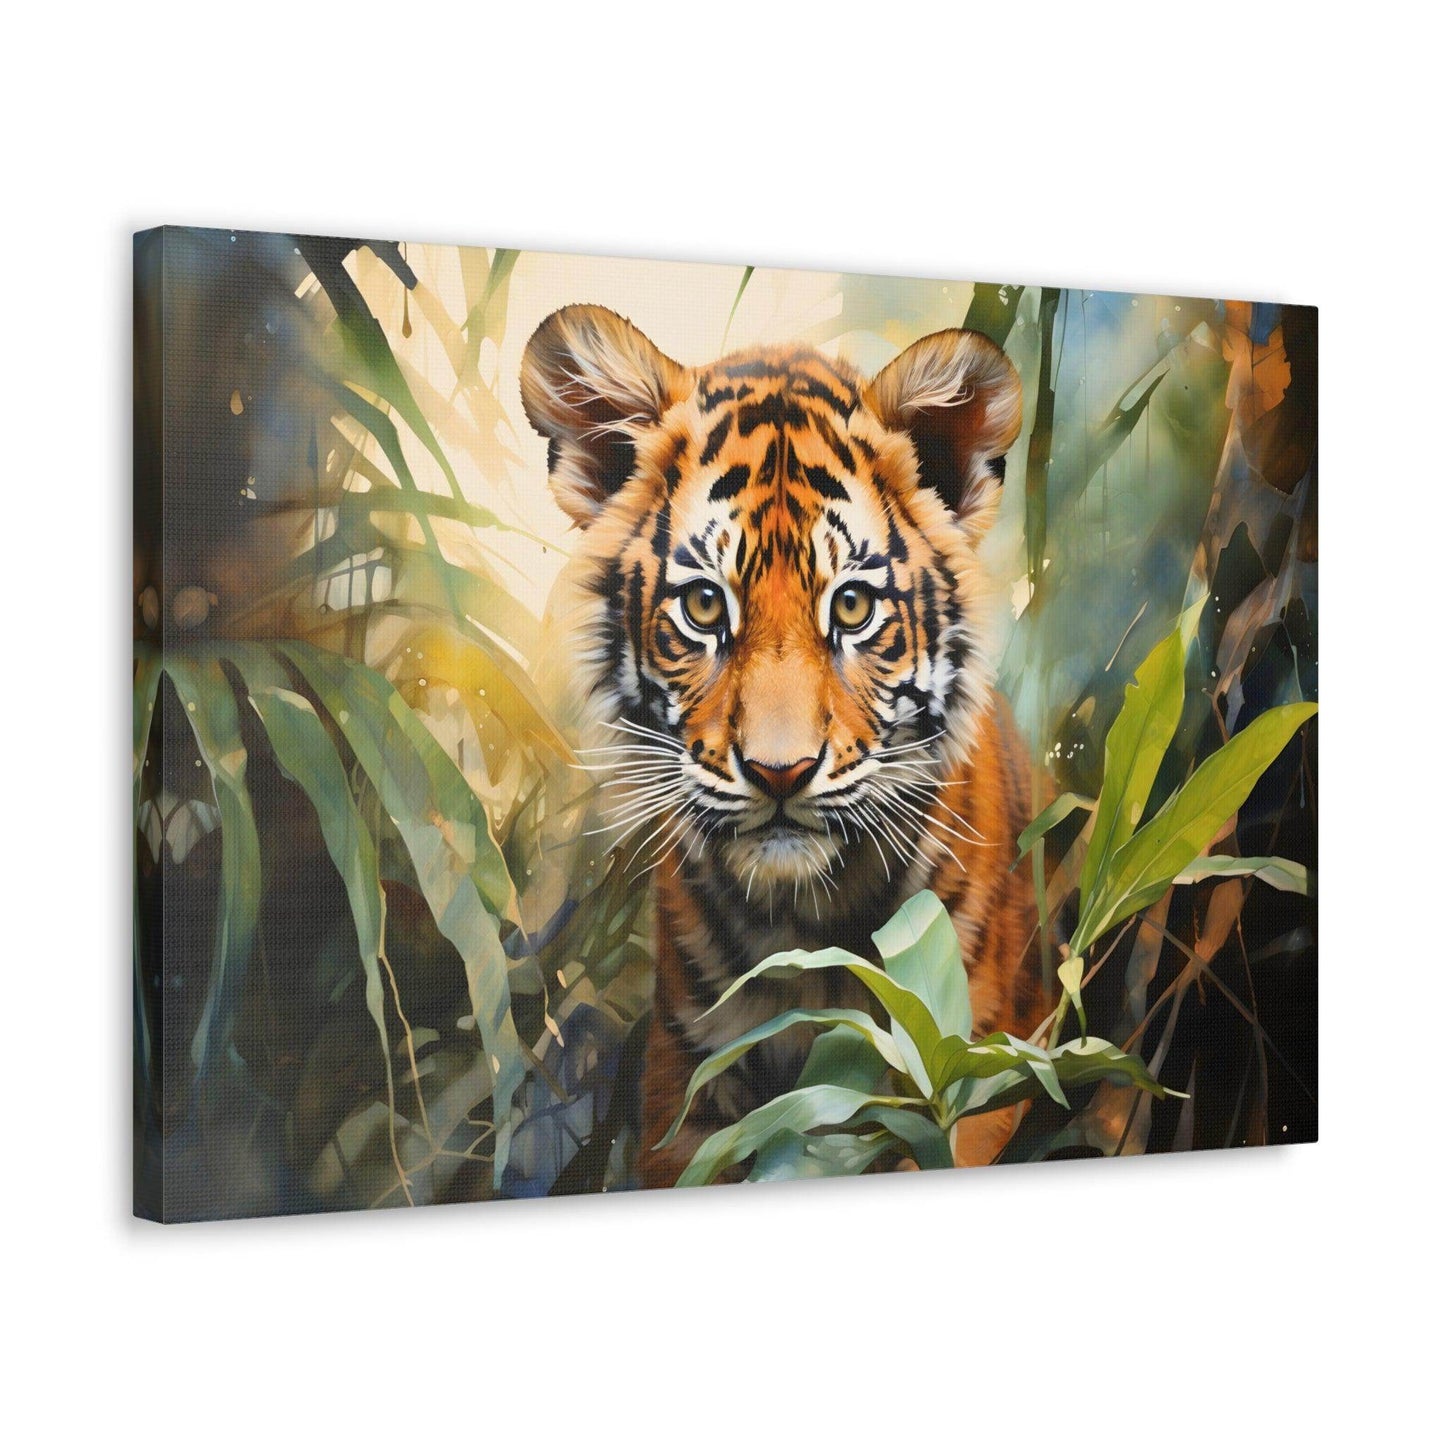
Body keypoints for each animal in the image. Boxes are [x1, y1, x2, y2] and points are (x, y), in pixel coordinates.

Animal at [521, 303, 1043, 1188]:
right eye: (703, 605)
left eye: (853, 606)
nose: (779, 772)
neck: (804, 927)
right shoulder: (687, 1088)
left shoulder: (968, 1080)